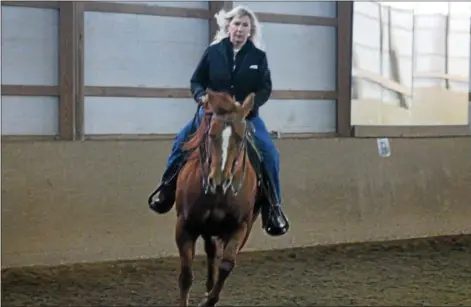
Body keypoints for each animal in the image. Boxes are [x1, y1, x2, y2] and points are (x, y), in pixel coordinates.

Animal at [175, 91, 260, 307]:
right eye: (211, 134)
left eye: (240, 137)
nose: (219, 180)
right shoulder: (184, 225)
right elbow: (186, 275)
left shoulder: (241, 226)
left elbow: (227, 265)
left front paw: (209, 300)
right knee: (211, 251)